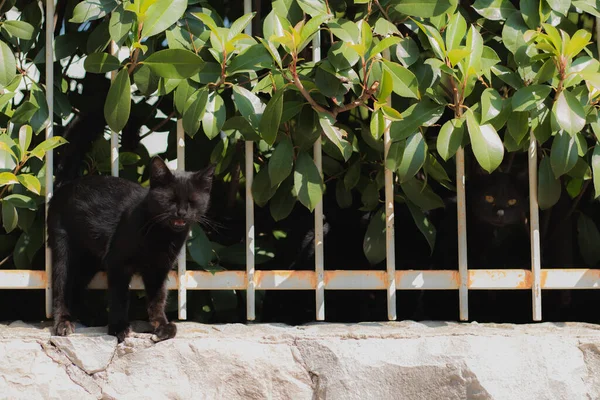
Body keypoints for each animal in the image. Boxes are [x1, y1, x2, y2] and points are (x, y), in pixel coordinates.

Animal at [48, 111, 213, 340]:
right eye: (170, 200)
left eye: (192, 201)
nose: (181, 212)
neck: (162, 235)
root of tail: (67, 184)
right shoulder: (118, 263)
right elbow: (119, 298)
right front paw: (118, 328)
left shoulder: (159, 268)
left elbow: (157, 299)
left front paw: (162, 325)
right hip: (64, 248)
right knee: (61, 287)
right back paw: (63, 322)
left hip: (88, 260)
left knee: (76, 287)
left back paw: (79, 319)